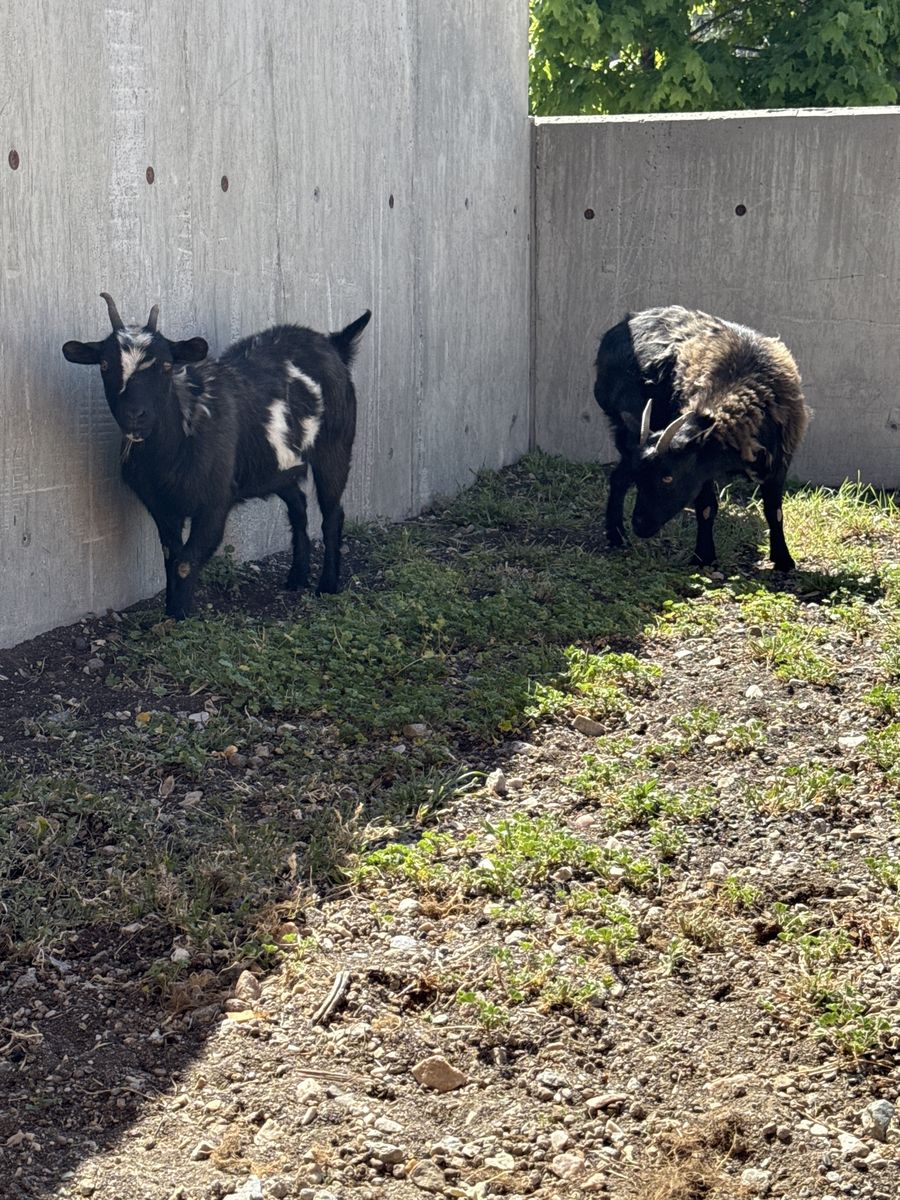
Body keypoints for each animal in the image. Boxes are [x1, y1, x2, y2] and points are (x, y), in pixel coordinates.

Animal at [63, 293, 371, 618]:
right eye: (104, 364)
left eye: (167, 365)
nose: (134, 415)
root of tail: (332, 344)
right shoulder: (161, 506)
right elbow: (171, 560)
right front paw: (171, 612)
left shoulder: (215, 502)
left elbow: (185, 563)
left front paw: (178, 618)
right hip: (274, 468)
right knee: (298, 505)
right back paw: (296, 578)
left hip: (335, 447)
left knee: (332, 514)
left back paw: (327, 585)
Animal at [594, 305, 809, 571]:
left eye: (668, 477)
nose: (640, 526)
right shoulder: (701, 468)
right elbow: (706, 508)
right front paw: (703, 557)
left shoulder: (779, 461)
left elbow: (774, 511)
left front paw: (783, 560)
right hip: (624, 423)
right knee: (618, 478)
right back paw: (616, 535)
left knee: (619, 476)